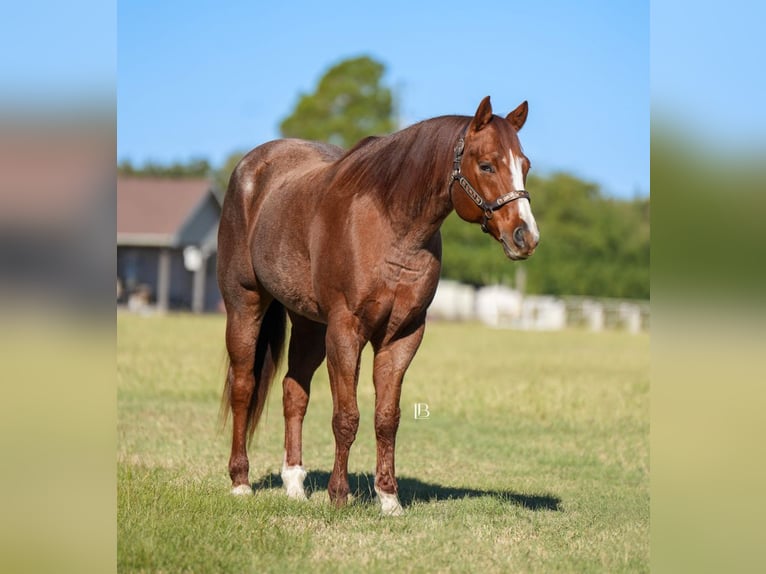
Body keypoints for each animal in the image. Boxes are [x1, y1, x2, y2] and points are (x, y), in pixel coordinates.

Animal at [217, 96, 539, 515]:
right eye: (486, 165)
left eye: (525, 165)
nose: (525, 236)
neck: (390, 227)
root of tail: (250, 168)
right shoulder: (346, 330)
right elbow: (346, 417)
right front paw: (339, 495)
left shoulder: (402, 336)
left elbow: (387, 418)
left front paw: (388, 498)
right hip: (245, 303)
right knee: (243, 386)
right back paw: (240, 481)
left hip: (308, 323)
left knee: (293, 391)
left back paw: (294, 483)